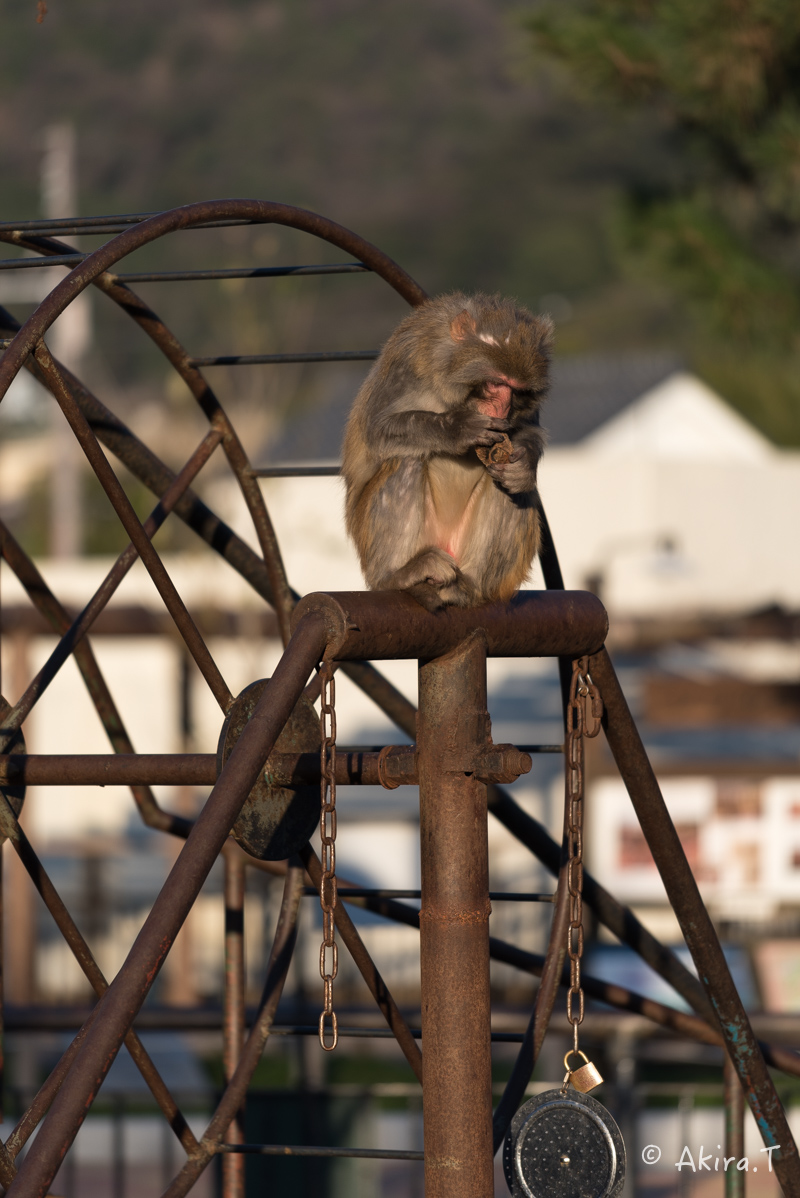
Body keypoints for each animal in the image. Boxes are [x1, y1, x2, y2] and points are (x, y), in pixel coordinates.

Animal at [340, 289, 553, 608]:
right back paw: (398, 574)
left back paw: (469, 585)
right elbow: (376, 430)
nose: (502, 408)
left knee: (510, 490)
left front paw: (523, 466)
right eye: (496, 383)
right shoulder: (407, 360)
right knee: (406, 458)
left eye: (517, 390)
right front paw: (455, 428)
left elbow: (527, 430)